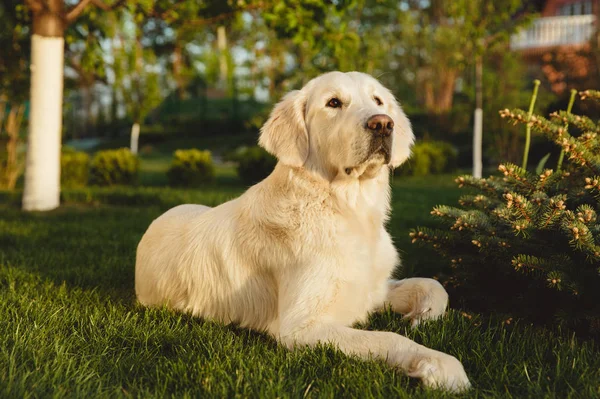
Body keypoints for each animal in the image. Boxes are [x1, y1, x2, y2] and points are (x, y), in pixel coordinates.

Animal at [135, 70, 468, 392]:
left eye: (378, 101)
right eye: (333, 103)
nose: (383, 124)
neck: (346, 209)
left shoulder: (370, 289)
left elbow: (435, 285)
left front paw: (421, 317)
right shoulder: (301, 327)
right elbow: (387, 336)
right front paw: (441, 365)